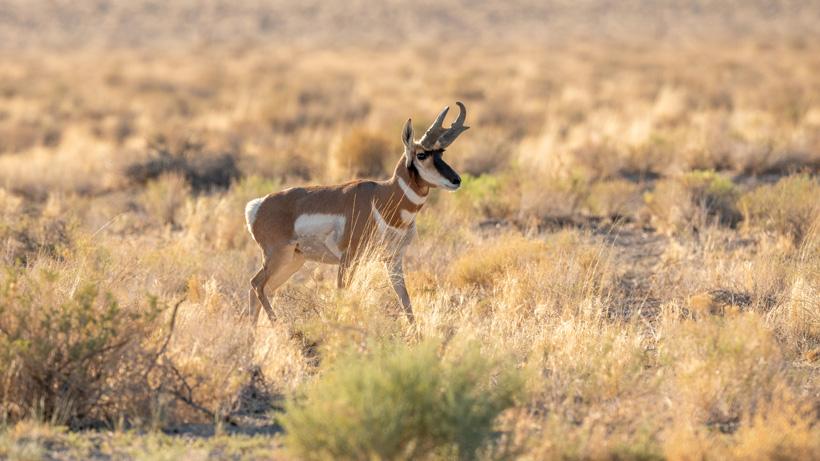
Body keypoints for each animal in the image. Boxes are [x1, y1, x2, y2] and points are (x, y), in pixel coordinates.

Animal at [244, 102, 469, 325]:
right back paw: (278, 326)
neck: (381, 198)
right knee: (257, 284)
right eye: (422, 154)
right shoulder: (348, 259)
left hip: (293, 261)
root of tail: (259, 205)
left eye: (441, 153)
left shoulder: (393, 259)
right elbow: (342, 294)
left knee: (260, 289)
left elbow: (405, 300)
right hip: (279, 257)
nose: (456, 180)